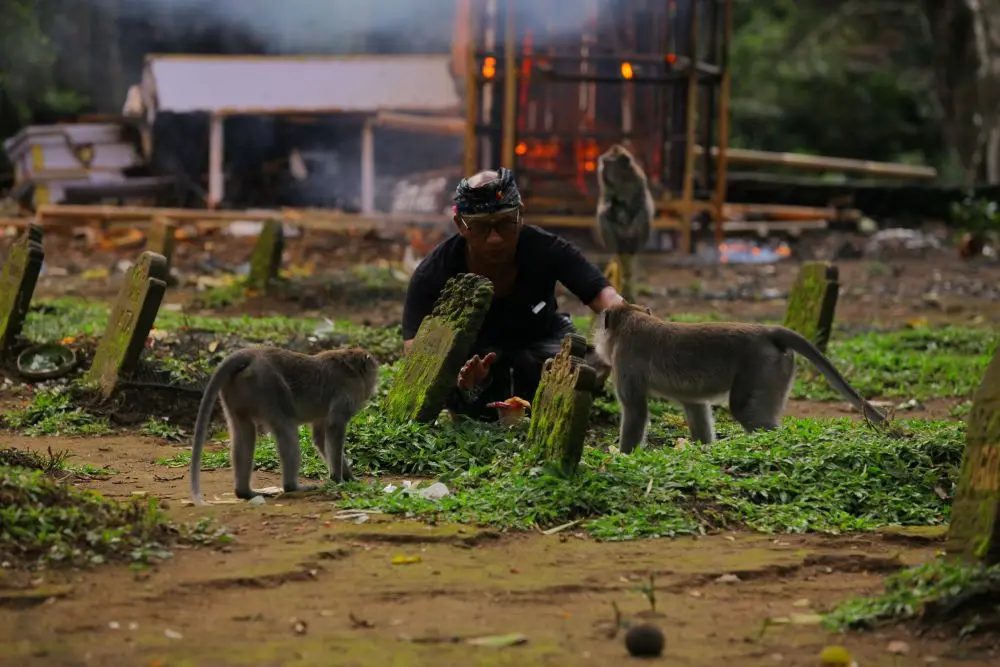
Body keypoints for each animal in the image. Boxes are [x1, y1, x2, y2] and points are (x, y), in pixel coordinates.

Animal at [189, 346, 379, 505]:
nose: (374, 386)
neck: (352, 368)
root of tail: (252, 353)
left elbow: (320, 438)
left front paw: (348, 477)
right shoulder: (348, 391)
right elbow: (335, 427)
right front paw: (338, 479)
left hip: (237, 389)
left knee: (244, 431)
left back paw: (244, 492)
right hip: (267, 383)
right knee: (286, 428)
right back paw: (292, 486)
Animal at [592, 302, 888, 454]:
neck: (630, 321)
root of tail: (767, 331)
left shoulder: (625, 362)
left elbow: (635, 411)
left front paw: (622, 456)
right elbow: (696, 406)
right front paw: (704, 451)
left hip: (762, 367)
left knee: (745, 409)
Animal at [595, 144, 655, 303]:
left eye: (608, 163)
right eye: (604, 163)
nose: (601, 168)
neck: (621, 179)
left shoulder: (639, 178)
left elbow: (644, 203)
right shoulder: (606, 185)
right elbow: (605, 204)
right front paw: (611, 208)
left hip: (637, 240)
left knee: (643, 217)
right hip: (617, 238)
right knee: (604, 218)